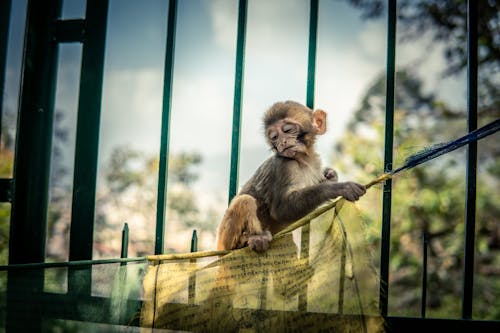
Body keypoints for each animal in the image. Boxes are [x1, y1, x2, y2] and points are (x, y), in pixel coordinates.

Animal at [217, 100, 366, 250]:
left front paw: (330, 175)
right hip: (225, 237)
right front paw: (338, 187)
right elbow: (280, 210)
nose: (282, 142)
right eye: (274, 137)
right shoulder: (284, 165)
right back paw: (250, 239)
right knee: (245, 200)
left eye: (287, 130)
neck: (303, 160)